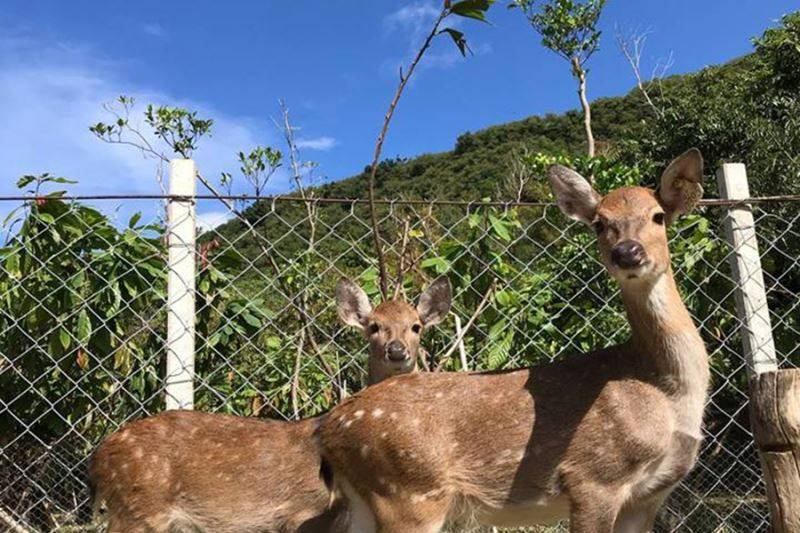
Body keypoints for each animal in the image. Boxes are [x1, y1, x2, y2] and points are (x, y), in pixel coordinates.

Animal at [89, 276, 450, 528]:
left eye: (416, 326)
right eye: (374, 326)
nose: (397, 350)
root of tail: (99, 457)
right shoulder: (301, 513)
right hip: (138, 508)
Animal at [316, 149, 708, 532]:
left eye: (658, 216)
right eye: (599, 223)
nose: (627, 252)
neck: (665, 390)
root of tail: (329, 428)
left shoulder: (649, 495)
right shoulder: (594, 477)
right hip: (408, 489)